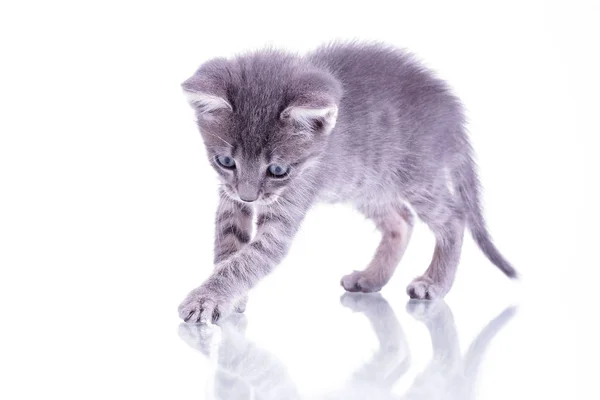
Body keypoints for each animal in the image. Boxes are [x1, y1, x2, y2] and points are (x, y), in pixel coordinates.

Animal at [177, 42, 516, 324]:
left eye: (277, 169)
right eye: (225, 162)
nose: (249, 198)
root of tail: (452, 114)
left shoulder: (289, 204)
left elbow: (249, 258)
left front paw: (207, 299)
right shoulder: (229, 197)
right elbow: (229, 247)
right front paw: (231, 298)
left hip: (418, 179)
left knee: (454, 217)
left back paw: (435, 282)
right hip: (367, 185)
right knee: (401, 220)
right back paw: (371, 278)